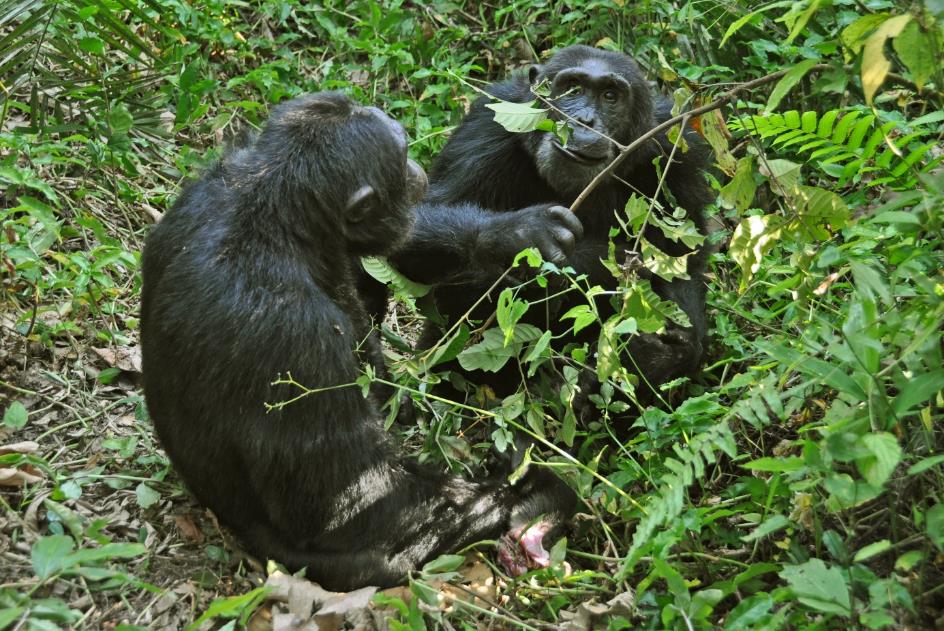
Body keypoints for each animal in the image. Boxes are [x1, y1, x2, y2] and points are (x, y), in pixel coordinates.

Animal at [136, 92, 572, 592]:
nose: (416, 168)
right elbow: (353, 504)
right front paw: (538, 494)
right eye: (401, 157)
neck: (280, 223)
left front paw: (513, 235)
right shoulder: (295, 338)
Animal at [390, 47, 708, 398]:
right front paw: (519, 233)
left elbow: (680, 261)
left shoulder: (676, 151)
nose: (584, 120)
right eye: (572, 89)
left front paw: (661, 353)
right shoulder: (485, 126)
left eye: (610, 96)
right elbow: (415, 219)